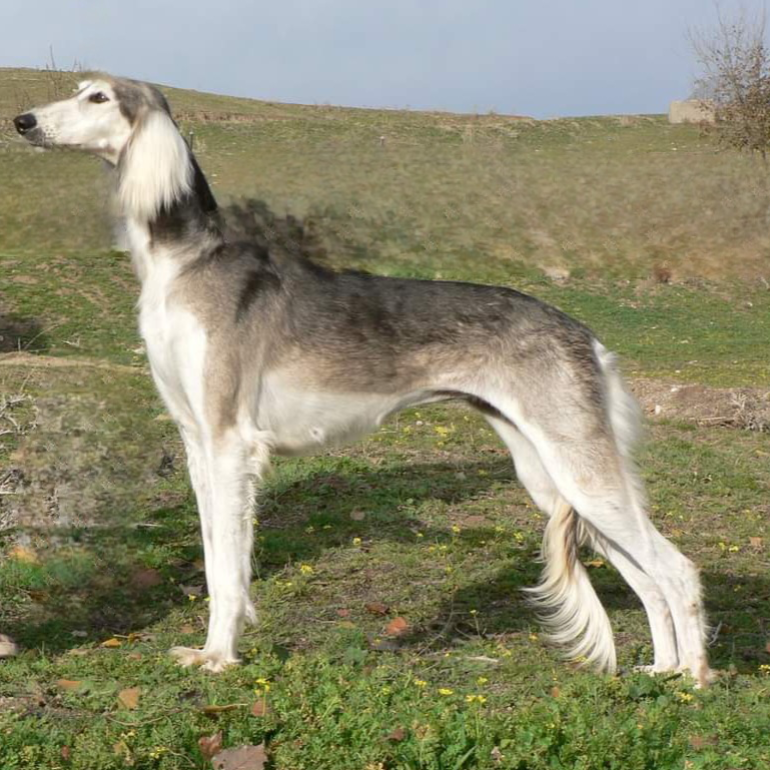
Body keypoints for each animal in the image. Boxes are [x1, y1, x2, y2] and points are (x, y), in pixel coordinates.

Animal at [12, 75, 712, 680]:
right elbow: (213, 560)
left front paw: (220, 656)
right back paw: (663, 669)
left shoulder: (230, 442)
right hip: (550, 476)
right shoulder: (196, 442)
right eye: (76, 90)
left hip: (580, 470)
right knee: (646, 579)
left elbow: (230, 569)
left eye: (98, 96)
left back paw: (696, 680)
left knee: (676, 570)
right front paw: (212, 648)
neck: (186, 264)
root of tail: (583, 333)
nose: (23, 122)